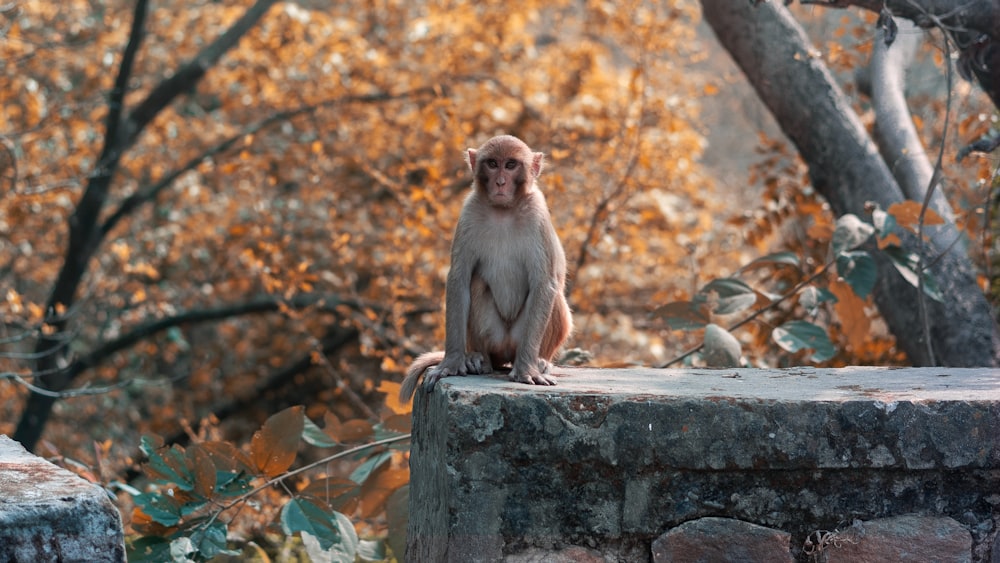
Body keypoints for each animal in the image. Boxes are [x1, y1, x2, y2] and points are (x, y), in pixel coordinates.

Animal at [398, 135, 572, 404]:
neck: (504, 211)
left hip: (522, 338)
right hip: (494, 338)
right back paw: (478, 359)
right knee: (476, 282)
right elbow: (459, 278)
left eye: (510, 165)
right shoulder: (469, 212)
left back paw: (539, 362)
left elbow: (545, 284)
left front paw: (527, 369)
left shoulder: (537, 214)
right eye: (492, 164)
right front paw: (452, 362)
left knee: (554, 298)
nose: (500, 182)